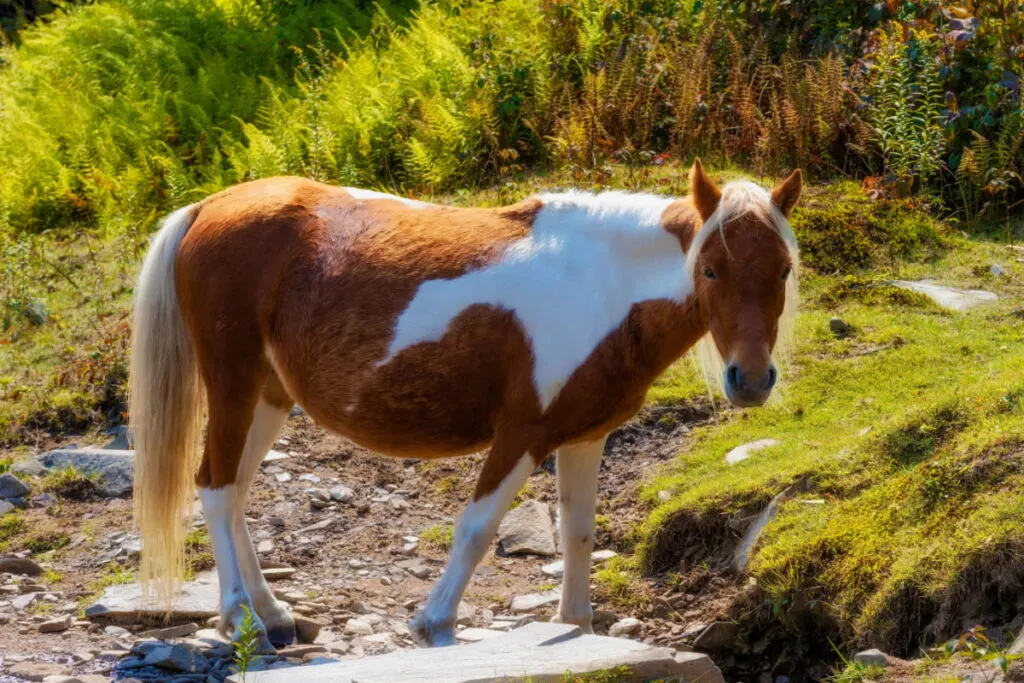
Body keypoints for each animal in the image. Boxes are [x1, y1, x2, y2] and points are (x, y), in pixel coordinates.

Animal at [128, 158, 798, 651]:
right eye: (710, 270)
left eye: (784, 270)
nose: (751, 379)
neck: (604, 285)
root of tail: (209, 206)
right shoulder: (523, 433)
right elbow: (477, 528)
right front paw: (436, 624)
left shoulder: (586, 436)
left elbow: (578, 531)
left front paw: (576, 627)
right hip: (234, 386)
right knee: (216, 489)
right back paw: (240, 616)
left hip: (269, 395)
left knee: (235, 490)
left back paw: (272, 613)